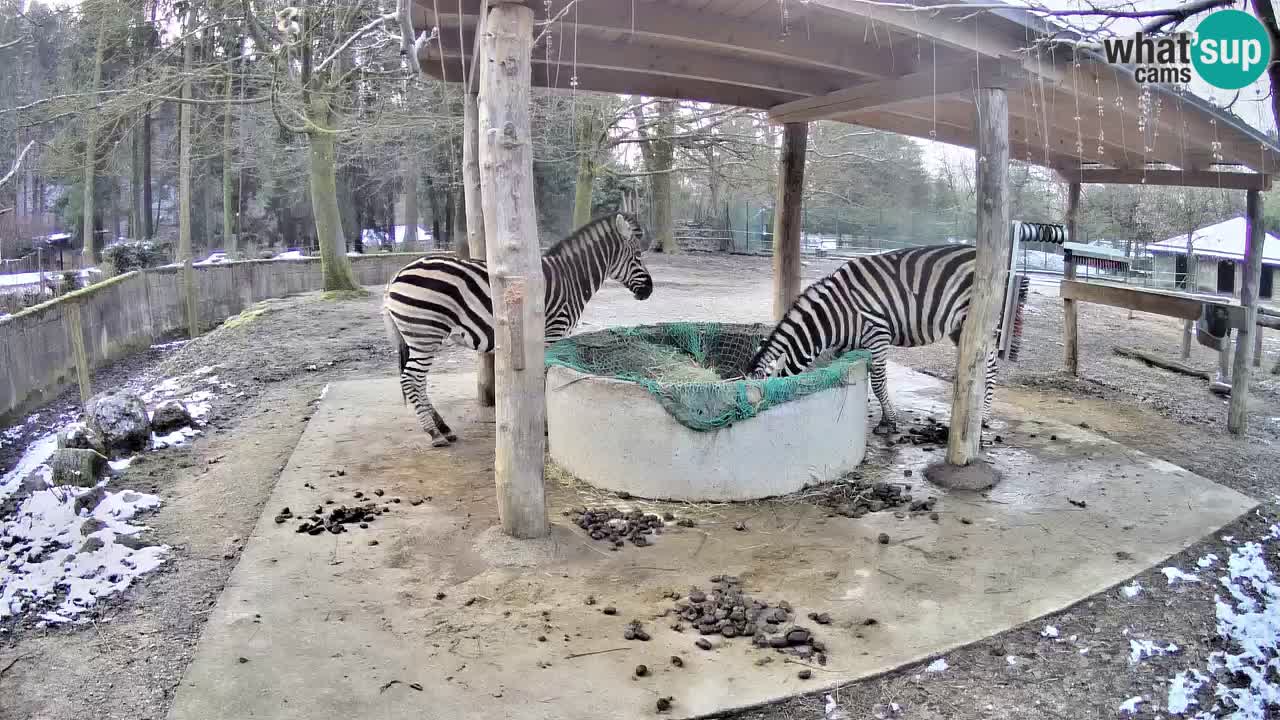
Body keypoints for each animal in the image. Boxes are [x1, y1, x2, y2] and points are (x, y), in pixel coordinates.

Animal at [378, 210, 650, 443]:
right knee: (411, 379)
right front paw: (544, 425)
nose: (649, 291)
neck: (570, 279)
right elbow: (542, 380)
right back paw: (434, 433)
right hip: (425, 333)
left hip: (419, 338)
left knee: (418, 381)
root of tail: (395, 277)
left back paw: (443, 428)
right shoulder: (551, 333)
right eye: (638, 257)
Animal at [747, 243, 1024, 430]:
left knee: (989, 368)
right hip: (959, 328)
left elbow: (879, 382)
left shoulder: (877, 334)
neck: (833, 316)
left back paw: (983, 418)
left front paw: (889, 420)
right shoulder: (847, 346)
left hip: (980, 322)